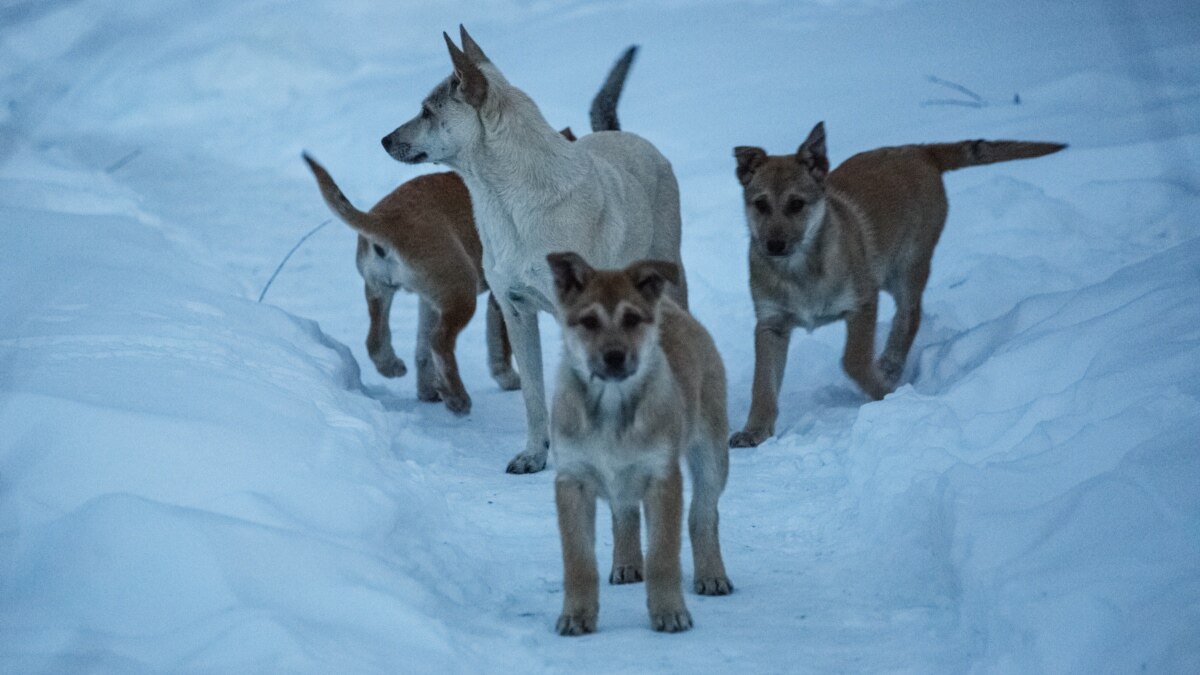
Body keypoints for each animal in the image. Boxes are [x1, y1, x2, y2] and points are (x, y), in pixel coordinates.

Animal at [381, 27, 686, 473]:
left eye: (426, 111)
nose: (384, 140)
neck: (508, 203)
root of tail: (627, 134)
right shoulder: (516, 310)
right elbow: (533, 396)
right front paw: (534, 455)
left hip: (669, 282)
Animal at [724, 120, 1065, 446]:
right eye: (760, 204)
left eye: (797, 204)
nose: (773, 245)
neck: (799, 271)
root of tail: (919, 151)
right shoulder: (771, 324)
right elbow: (762, 385)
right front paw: (755, 431)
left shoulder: (862, 302)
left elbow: (854, 360)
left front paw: (884, 390)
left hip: (906, 265)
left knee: (910, 313)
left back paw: (890, 363)